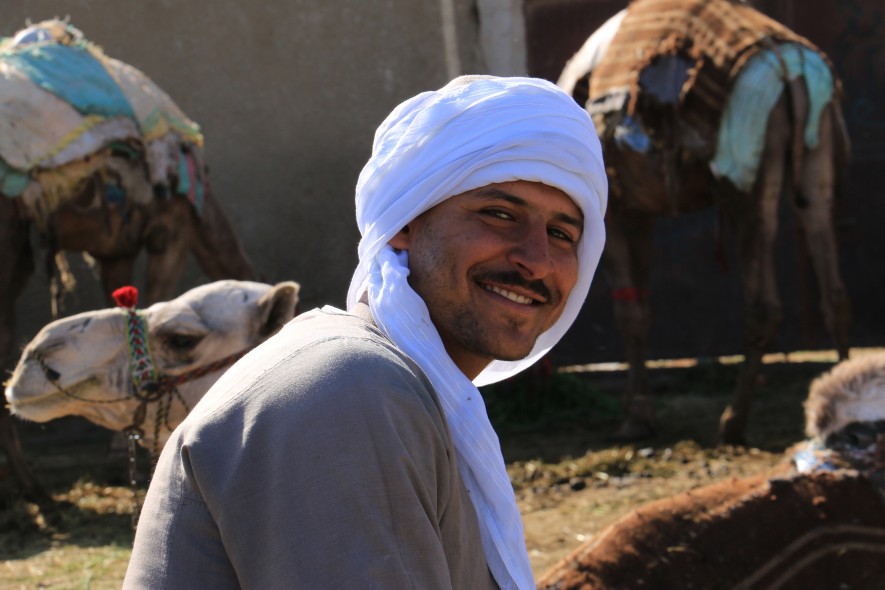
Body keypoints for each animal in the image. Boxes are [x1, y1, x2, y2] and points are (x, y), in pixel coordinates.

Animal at [0, 19, 259, 499]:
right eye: (182, 340)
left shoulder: (115, 247)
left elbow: (121, 301)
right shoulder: (171, 225)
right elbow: (152, 294)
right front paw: (121, 451)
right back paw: (32, 486)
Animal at [558, 0, 852, 444]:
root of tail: (793, 69)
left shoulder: (614, 211)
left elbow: (630, 314)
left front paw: (636, 419)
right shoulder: (639, 209)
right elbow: (641, 306)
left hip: (745, 177)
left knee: (763, 305)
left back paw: (733, 422)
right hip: (817, 162)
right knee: (833, 290)